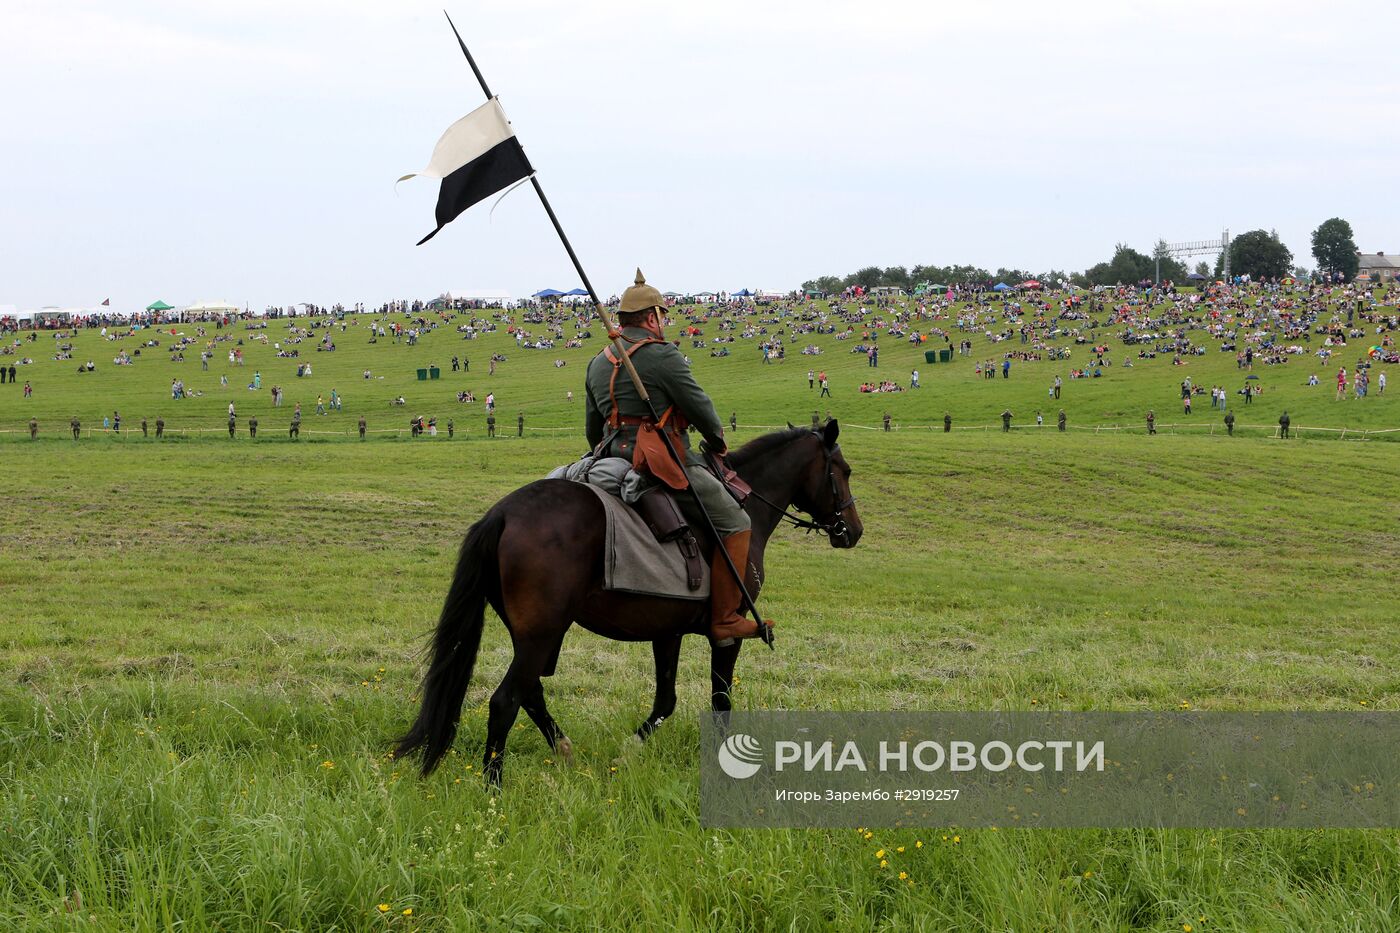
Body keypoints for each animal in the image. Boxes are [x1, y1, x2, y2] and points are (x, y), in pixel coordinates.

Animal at [389, 417, 856, 778]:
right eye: (844, 470)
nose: (852, 530)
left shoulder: (667, 631)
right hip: (541, 635)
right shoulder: (728, 631)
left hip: (533, 637)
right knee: (505, 701)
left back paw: (564, 751)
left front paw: (631, 750)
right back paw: (494, 787)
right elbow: (720, 700)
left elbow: (666, 699)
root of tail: (502, 513)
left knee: (531, 693)